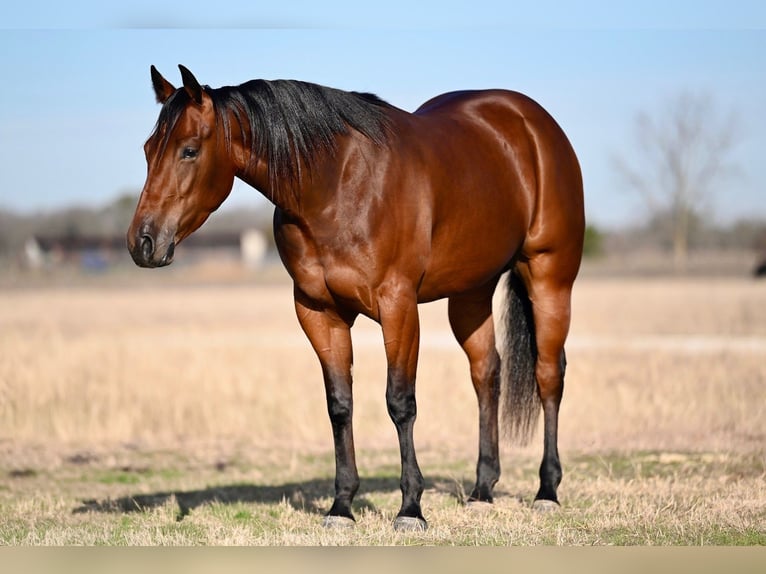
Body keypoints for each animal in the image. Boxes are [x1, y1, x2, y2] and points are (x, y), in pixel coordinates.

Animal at [127, 65, 588, 532]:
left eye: (188, 150)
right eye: (148, 150)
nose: (142, 243)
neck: (336, 187)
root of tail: (531, 122)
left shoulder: (398, 306)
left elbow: (400, 402)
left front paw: (410, 509)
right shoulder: (319, 312)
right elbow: (340, 405)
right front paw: (342, 506)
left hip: (549, 277)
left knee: (549, 374)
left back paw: (547, 490)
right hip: (470, 292)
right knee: (486, 373)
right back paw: (482, 490)